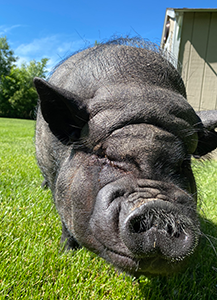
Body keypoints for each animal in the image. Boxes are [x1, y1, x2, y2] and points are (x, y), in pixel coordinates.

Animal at [33, 38, 217, 276]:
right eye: (106, 155)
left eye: (184, 163)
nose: (159, 209)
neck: (136, 86)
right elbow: (65, 222)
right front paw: (65, 253)